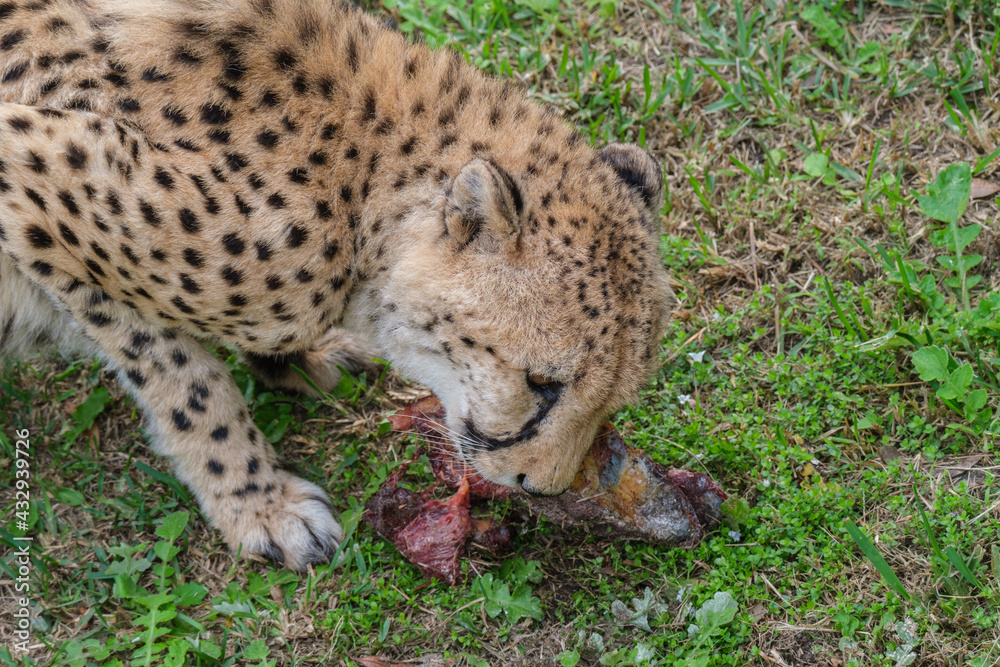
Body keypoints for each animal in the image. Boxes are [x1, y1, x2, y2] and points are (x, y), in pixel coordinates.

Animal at [0, 0, 676, 571]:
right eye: (541, 383)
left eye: (613, 399)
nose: (546, 486)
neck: (356, 171)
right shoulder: (34, 190)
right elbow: (184, 381)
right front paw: (261, 505)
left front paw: (300, 360)